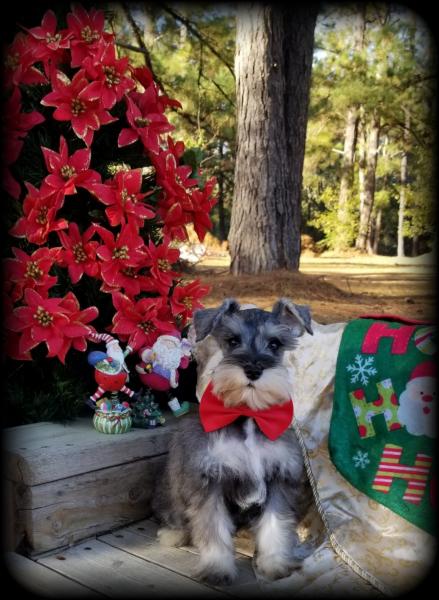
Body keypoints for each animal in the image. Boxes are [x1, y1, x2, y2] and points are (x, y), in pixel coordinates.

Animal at [153, 298, 314, 584]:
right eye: (232, 340)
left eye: (275, 344)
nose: (253, 369)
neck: (247, 413)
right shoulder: (209, 482)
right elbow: (213, 530)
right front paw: (217, 568)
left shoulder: (278, 480)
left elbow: (275, 526)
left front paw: (274, 564)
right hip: (172, 492)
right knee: (176, 516)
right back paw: (172, 534)